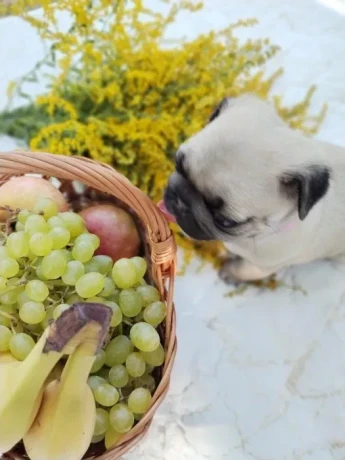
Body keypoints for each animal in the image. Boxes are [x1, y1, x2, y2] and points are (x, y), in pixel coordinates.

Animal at [159, 95, 345, 282]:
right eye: (177, 164)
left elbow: (243, 270)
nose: (181, 200)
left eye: (225, 221)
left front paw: (229, 272)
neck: (252, 237)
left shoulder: (261, 266)